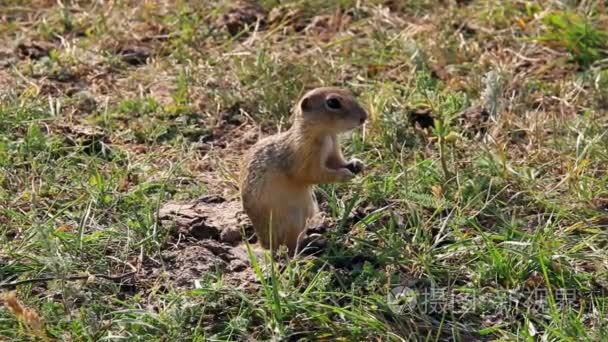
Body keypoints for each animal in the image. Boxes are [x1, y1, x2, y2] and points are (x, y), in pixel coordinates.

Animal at [240, 87, 368, 254]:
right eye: (333, 102)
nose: (364, 117)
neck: (326, 134)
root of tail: (264, 244)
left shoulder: (332, 152)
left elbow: (338, 162)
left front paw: (357, 164)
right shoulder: (306, 159)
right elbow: (316, 174)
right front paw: (344, 174)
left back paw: (314, 239)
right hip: (292, 222)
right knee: (290, 247)